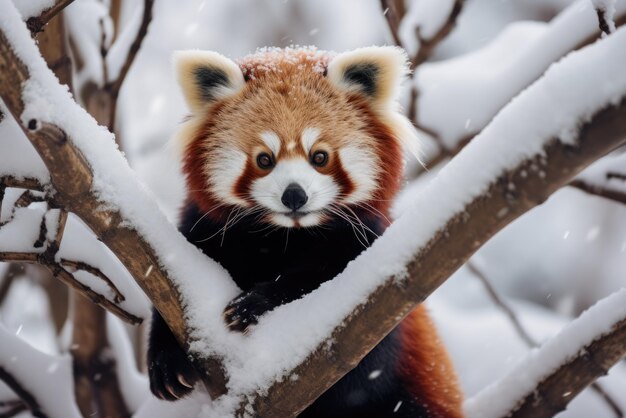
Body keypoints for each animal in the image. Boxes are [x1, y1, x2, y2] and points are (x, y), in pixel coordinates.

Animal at [145, 46, 458, 418]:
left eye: (319, 156)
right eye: (264, 159)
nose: (294, 195)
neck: (286, 238)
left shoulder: (368, 254)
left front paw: (257, 304)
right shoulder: (203, 229)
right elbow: (171, 294)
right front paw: (165, 362)